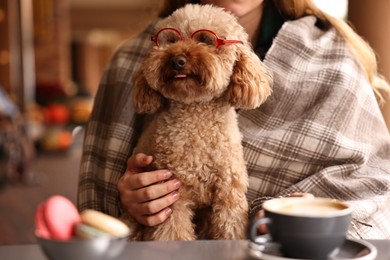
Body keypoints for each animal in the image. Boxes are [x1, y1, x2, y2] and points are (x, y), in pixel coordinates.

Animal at [123, 3, 272, 241]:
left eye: (205, 40)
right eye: (171, 40)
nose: (177, 61)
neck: (196, 116)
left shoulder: (229, 194)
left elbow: (230, 229)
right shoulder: (172, 195)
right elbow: (172, 234)